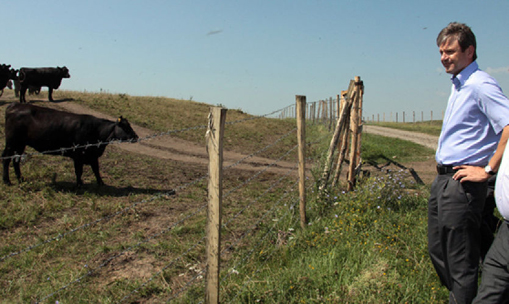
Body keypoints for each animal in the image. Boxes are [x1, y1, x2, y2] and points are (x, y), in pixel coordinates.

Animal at [2, 102, 139, 185]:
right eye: (126, 128)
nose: (136, 137)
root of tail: (14, 105)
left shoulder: (92, 155)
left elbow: (96, 169)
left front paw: (101, 183)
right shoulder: (78, 155)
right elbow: (79, 171)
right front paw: (79, 184)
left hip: (20, 144)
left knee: (16, 160)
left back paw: (20, 178)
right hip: (12, 142)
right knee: (6, 158)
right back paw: (7, 181)